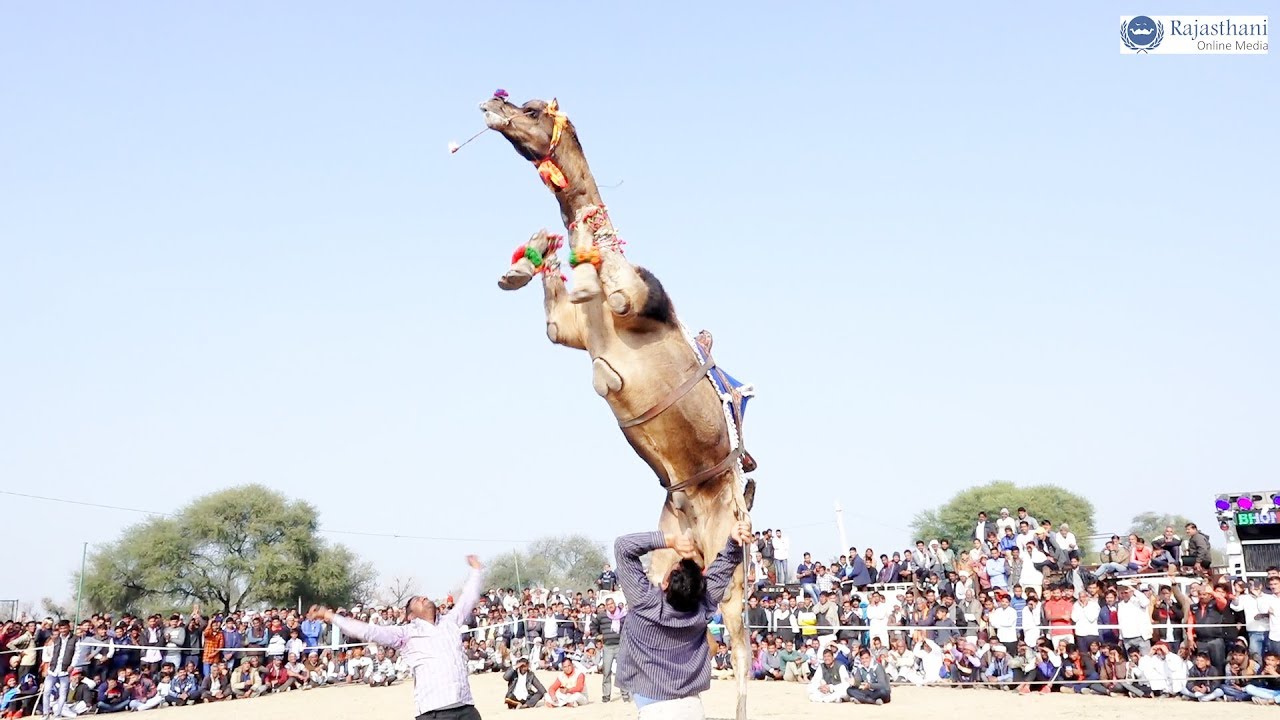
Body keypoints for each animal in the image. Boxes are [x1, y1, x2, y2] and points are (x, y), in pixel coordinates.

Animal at [481, 90, 757, 717]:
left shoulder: (632, 301)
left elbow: (604, 307)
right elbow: (556, 316)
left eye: (532, 110)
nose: (491, 105)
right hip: (674, 557)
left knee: (739, 640)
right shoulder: (571, 333)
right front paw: (527, 260)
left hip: (732, 559)